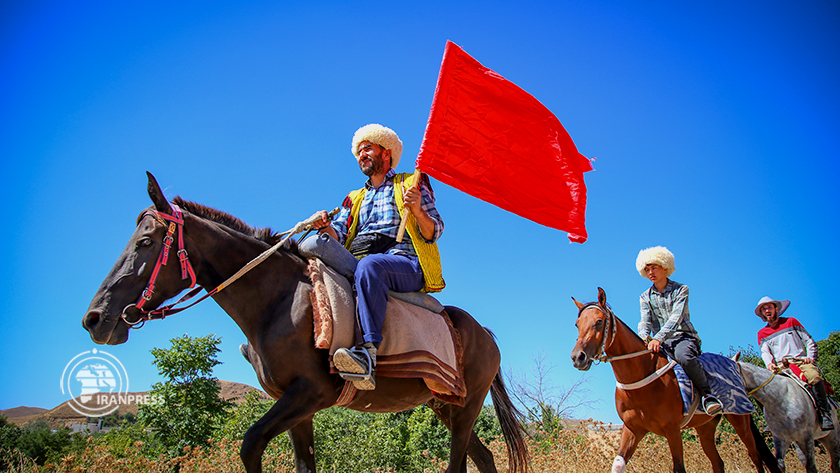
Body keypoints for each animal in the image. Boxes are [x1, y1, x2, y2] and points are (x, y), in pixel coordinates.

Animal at [82, 172, 528, 472]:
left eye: (145, 242)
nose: (95, 319)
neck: (278, 301)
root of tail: (483, 333)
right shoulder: (297, 406)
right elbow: (302, 464)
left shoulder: (311, 393)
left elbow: (249, 445)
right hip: (443, 403)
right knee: (483, 457)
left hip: (466, 405)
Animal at [568, 286, 776, 472]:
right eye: (577, 324)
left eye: (599, 322)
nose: (578, 357)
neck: (642, 375)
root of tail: (735, 363)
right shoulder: (632, 429)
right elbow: (618, 464)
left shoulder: (672, 430)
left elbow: (679, 468)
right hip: (706, 428)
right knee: (718, 463)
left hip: (740, 419)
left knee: (756, 456)